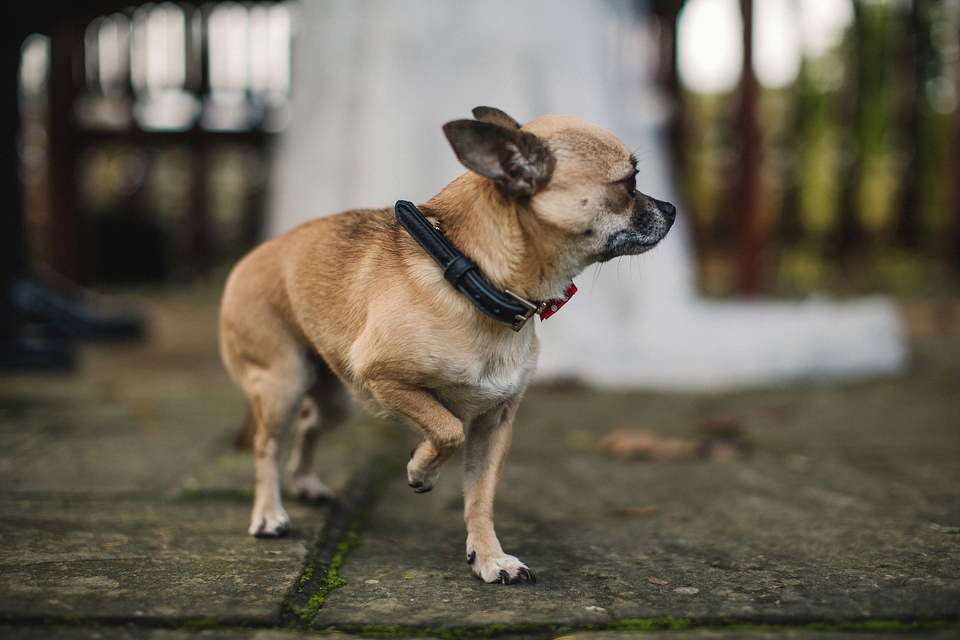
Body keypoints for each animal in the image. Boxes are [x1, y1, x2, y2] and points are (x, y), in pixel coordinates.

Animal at [221, 107, 680, 584]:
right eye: (628, 183)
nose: (671, 208)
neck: (474, 278)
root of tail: (256, 255)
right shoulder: (386, 381)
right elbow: (447, 430)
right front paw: (420, 471)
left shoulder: (494, 425)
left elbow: (480, 497)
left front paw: (490, 557)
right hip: (284, 383)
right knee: (266, 446)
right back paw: (269, 513)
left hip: (337, 396)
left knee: (311, 423)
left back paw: (306, 483)